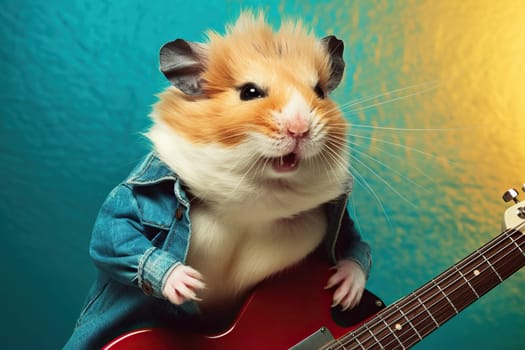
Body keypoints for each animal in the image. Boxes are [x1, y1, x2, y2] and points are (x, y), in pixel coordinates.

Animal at [145, 12, 366, 314]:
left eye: (320, 92)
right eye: (250, 92)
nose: (300, 130)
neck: (261, 188)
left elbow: (352, 240)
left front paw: (345, 294)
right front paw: (187, 284)